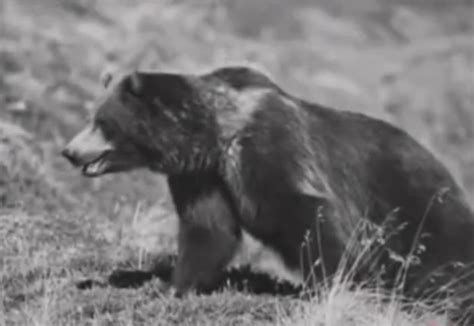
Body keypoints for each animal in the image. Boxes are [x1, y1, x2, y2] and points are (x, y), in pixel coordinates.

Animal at [63, 67, 474, 318]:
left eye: (102, 122)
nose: (68, 151)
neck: (215, 135)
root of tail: (441, 164)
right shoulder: (203, 176)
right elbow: (208, 230)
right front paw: (173, 286)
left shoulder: (269, 151)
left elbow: (309, 219)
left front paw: (340, 286)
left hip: (414, 201)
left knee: (442, 260)